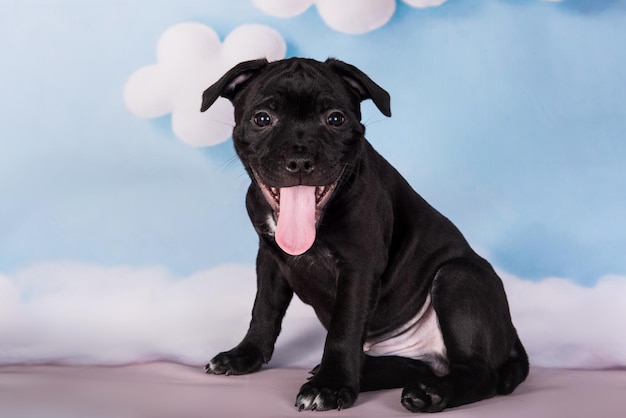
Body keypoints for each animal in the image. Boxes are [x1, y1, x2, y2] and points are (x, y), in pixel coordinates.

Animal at [201, 57, 528, 414]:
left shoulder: (358, 267)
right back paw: (371, 374)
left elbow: (343, 329)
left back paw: (429, 393)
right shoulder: (270, 259)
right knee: (417, 365)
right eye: (262, 119)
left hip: (459, 276)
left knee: (478, 373)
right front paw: (244, 355)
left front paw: (330, 386)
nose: (300, 160)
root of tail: (511, 335)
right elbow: (264, 309)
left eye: (335, 119)